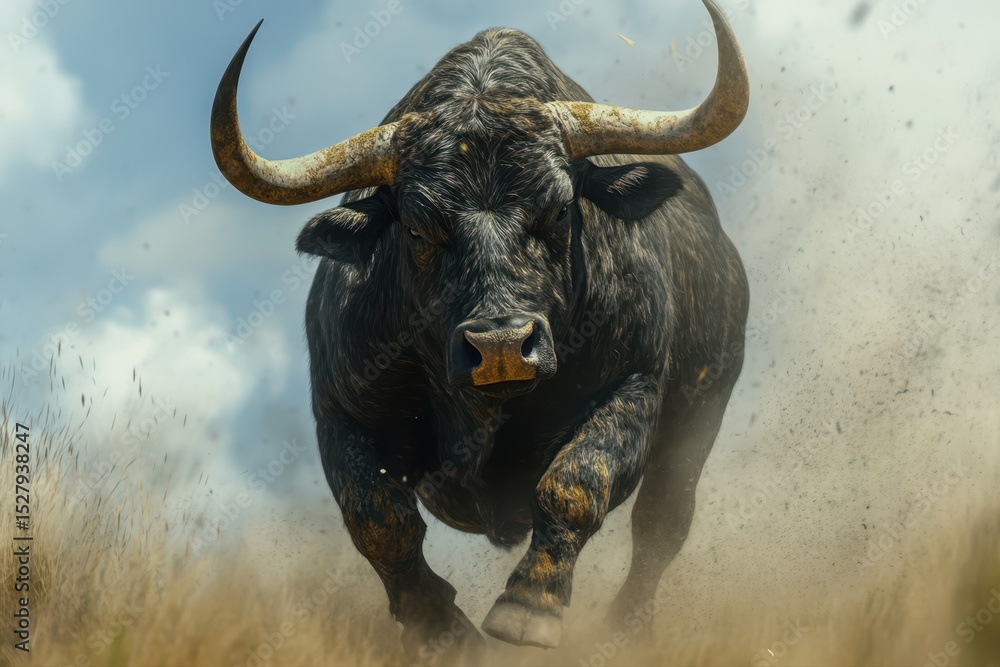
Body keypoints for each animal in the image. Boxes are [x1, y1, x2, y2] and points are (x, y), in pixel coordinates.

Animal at [211, 0, 749, 662]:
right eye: (418, 228)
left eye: (560, 209)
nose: (501, 348)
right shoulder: (340, 412)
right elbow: (378, 521)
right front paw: (438, 629)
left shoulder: (635, 384)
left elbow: (577, 481)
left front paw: (529, 606)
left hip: (703, 406)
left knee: (661, 523)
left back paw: (629, 628)